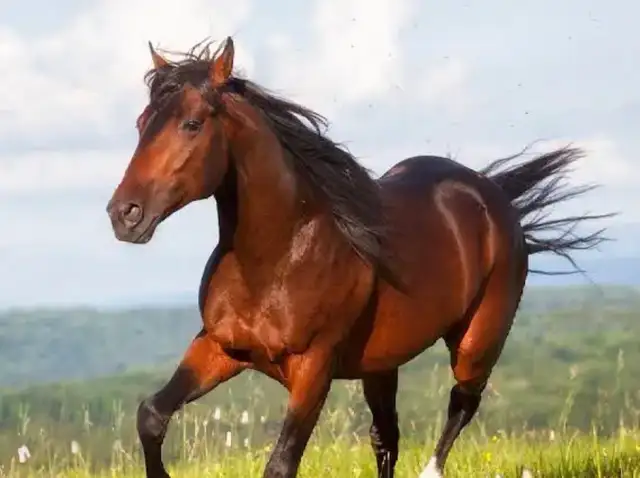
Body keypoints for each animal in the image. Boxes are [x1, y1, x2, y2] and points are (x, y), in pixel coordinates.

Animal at [106, 37, 612, 478]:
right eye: (142, 123)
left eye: (192, 123)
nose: (124, 214)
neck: (276, 257)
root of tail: (493, 196)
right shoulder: (219, 347)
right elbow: (151, 414)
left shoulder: (314, 368)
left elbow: (281, 464)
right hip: (382, 364)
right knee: (386, 437)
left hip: (477, 341)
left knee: (463, 402)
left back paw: (431, 471)